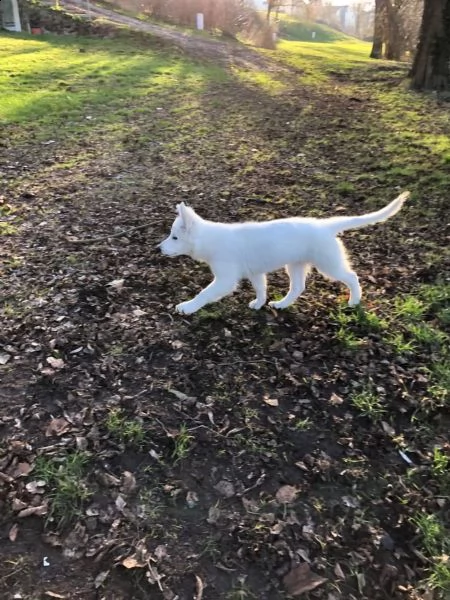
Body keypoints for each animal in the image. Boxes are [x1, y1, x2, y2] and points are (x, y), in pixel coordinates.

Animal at [160, 192, 410, 316]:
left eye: (174, 238)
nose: (158, 249)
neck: (210, 238)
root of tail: (326, 225)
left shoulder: (225, 279)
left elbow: (204, 293)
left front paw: (188, 307)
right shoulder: (255, 272)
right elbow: (261, 289)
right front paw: (259, 304)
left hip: (328, 264)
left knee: (352, 277)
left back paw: (354, 300)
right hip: (296, 265)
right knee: (298, 287)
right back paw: (281, 305)